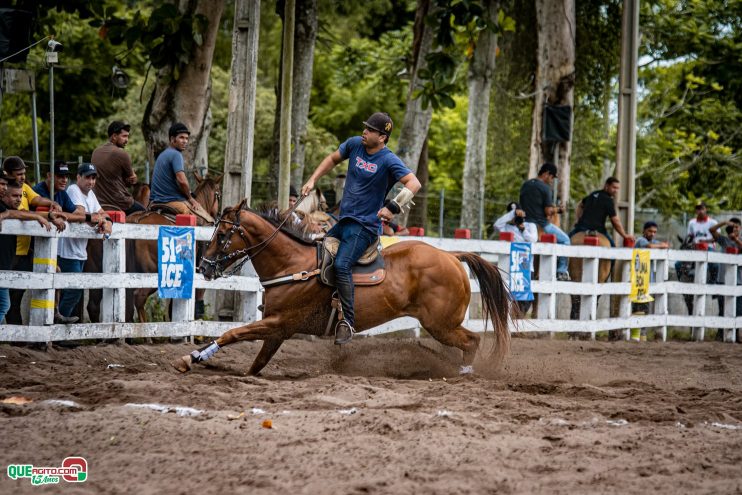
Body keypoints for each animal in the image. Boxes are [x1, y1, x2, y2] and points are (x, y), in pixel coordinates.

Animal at [174, 202, 516, 376]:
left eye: (222, 235)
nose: (204, 267)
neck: (292, 266)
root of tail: (452, 256)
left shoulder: (278, 323)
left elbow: (232, 333)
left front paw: (190, 358)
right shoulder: (278, 330)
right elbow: (256, 365)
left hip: (440, 324)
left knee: (472, 341)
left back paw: (466, 374)